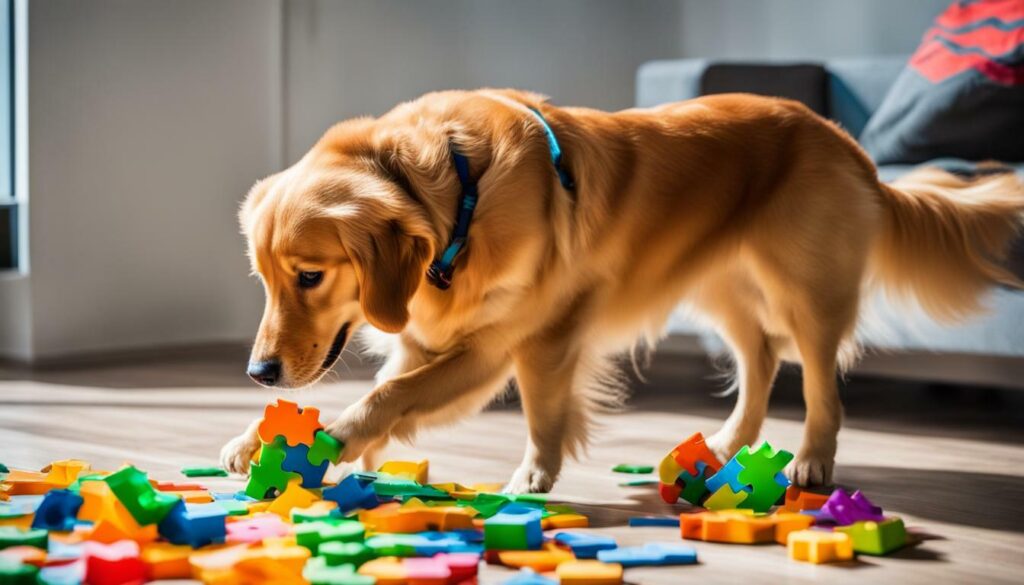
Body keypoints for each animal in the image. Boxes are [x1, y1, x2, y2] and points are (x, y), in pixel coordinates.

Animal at [218, 89, 1024, 491]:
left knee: (823, 379)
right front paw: (264, 438)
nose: (258, 372)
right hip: (722, 290)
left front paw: (533, 473)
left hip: (808, 290)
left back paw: (812, 461)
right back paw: (727, 443)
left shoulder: (513, 342)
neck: (458, 191)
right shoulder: (427, 336)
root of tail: (846, 142)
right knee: (761, 361)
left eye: (311, 275)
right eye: (262, 278)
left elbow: (408, 397)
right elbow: (388, 391)